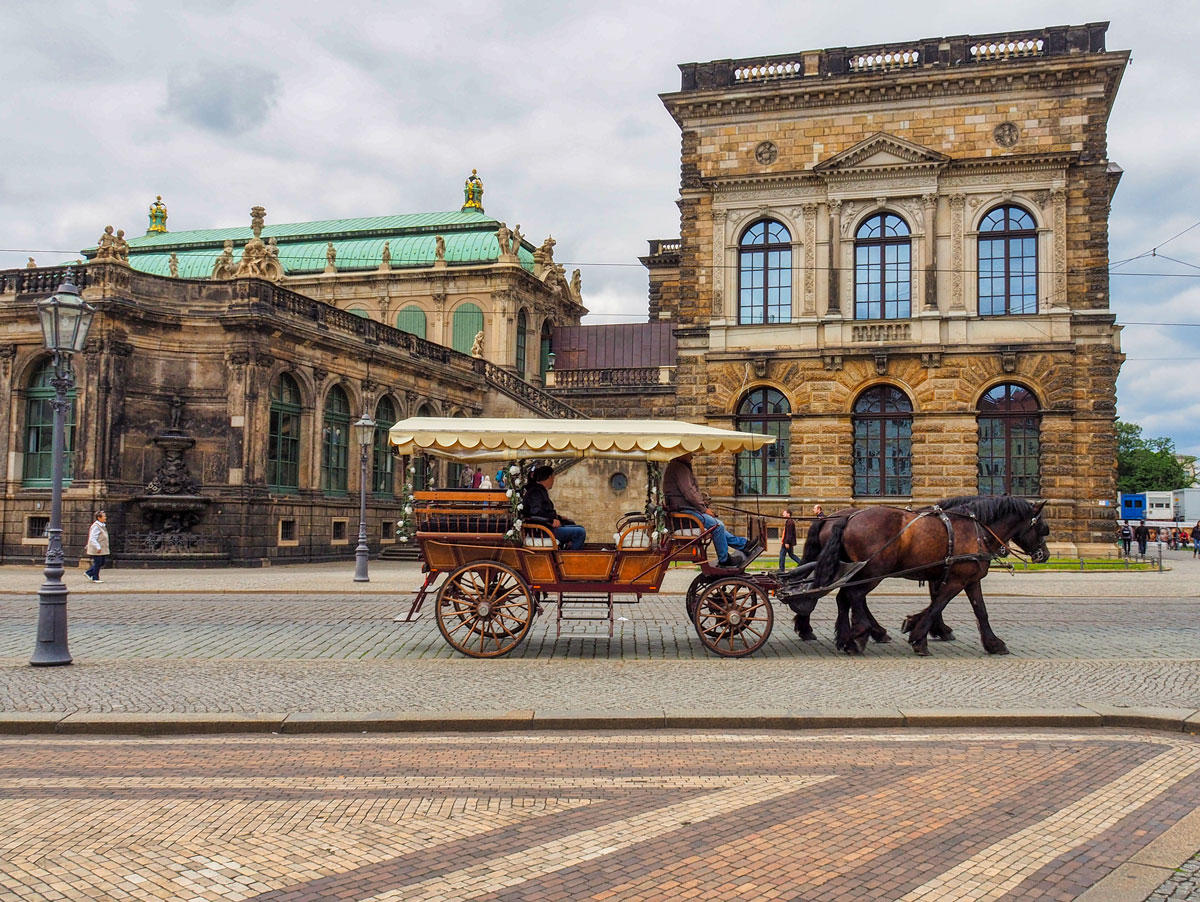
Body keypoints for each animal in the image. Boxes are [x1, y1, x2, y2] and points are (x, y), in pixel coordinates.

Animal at [796, 501, 1051, 657]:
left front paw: (992, 643)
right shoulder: (955, 580)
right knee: (854, 596)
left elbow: (980, 611)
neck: (977, 530)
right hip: (873, 570)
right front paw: (920, 636)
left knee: (844, 598)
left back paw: (846, 637)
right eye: (1043, 528)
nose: (1045, 555)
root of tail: (844, 518)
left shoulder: (967, 579)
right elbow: (938, 604)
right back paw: (858, 635)